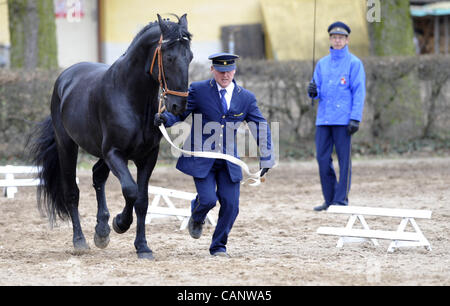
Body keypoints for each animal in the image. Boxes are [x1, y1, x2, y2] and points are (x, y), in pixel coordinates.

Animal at [28, 13, 193, 258]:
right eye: (169, 57)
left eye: (190, 57)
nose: (178, 106)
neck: (131, 97)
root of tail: (65, 77)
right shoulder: (115, 153)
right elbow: (130, 191)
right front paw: (120, 223)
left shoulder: (147, 157)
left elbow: (142, 200)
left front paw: (142, 246)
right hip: (68, 145)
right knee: (72, 192)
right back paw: (80, 241)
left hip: (101, 152)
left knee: (98, 176)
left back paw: (101, 231)